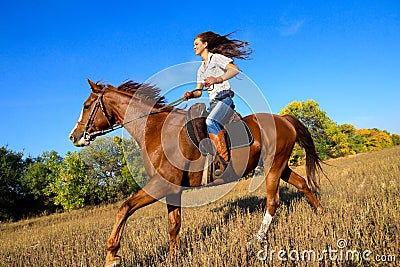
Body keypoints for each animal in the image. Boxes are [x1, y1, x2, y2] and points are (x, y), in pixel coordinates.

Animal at [69, 78, 324, 266]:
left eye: (86, 106)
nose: (74, 136)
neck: (154, 130)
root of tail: (284, 119)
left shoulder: (161, 185)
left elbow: (124, 208)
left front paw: (112, 255)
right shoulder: (173, 190)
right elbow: (173, 225)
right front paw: (172, 259)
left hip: (274, 166)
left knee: (273, 201)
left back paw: (255, 241)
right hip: (279, 165)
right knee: (301, 183)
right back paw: (321, 212)